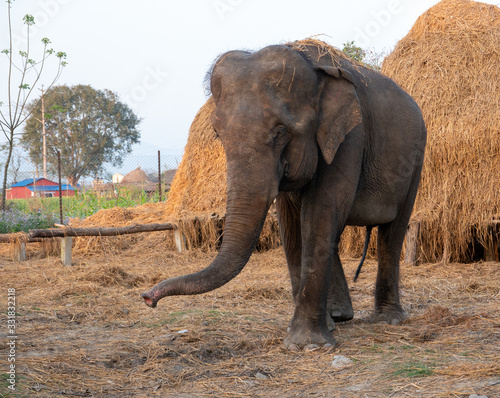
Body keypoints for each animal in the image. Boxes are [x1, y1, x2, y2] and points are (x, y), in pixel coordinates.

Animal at [143, 40, 428, 350]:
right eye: (218, 134)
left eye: (280, 131)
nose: (148, 298)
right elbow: (291, 223)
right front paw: (310, 334)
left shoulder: (350, 137)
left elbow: (321, 211)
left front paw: (307, 345)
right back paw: (338, 317)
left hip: (416, 160)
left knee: (392, 232)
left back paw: (389, 320)